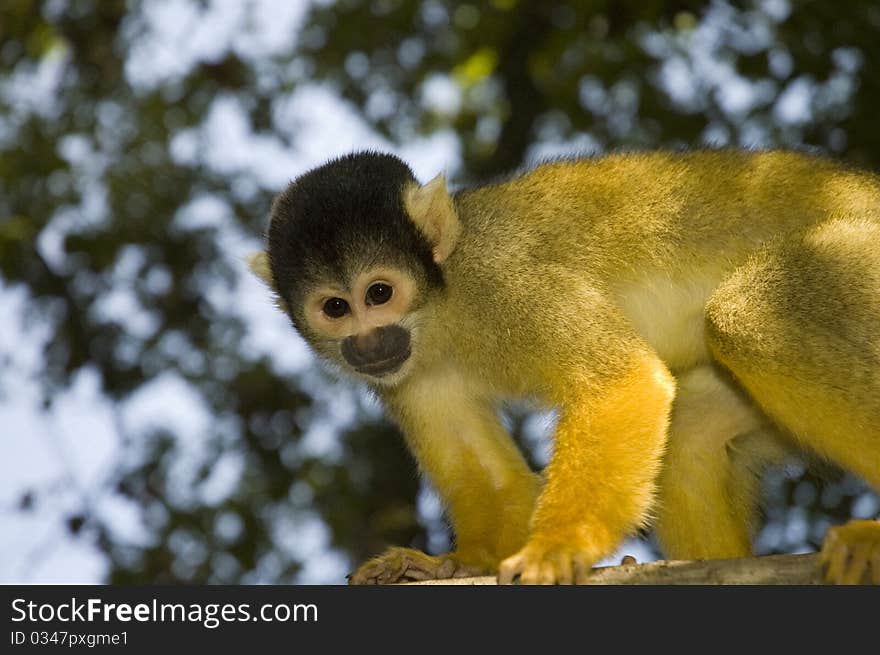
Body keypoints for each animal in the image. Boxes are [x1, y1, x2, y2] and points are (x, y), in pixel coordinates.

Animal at [248, 151, 880, 588]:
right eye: (336, 308)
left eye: (378, 292)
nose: (368, 341)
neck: (444, 306)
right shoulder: (408, 372)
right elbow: (490, 475)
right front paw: (453, 563)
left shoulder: (509, 281)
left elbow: (622, 380)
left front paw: (557, 549)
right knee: (690, 429)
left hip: (859, 255)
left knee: (748, 318)